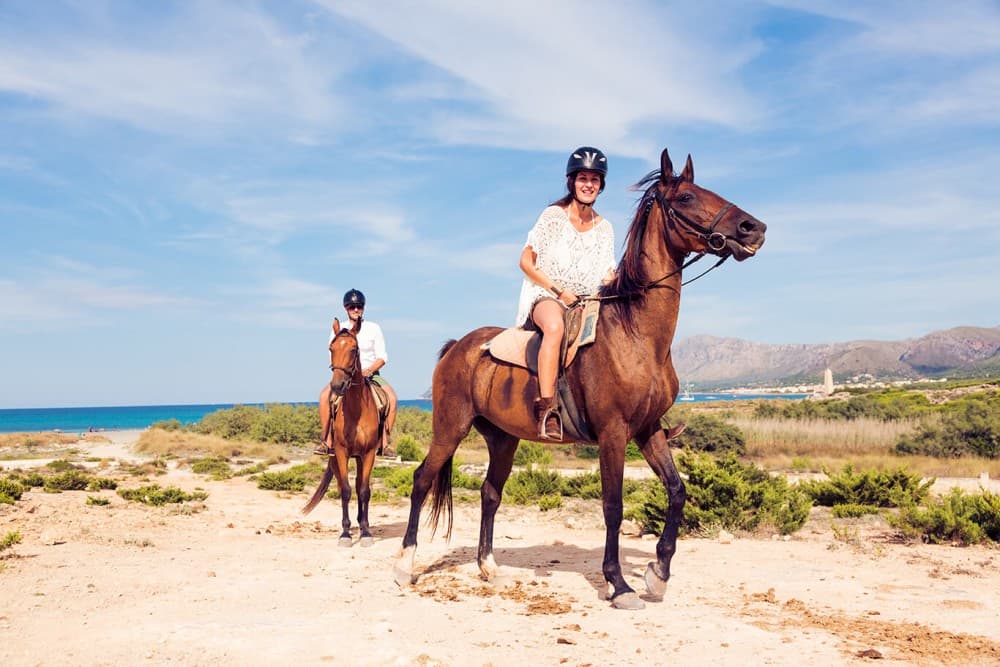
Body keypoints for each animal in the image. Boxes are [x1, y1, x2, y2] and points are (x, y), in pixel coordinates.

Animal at [302, 317, 384, 547]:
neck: (356, 408)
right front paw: (346, 534)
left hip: (359, 457)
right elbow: (346, 491)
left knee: (360, 486)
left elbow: (364, 491)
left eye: (354, 349)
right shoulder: (340, 452)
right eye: (331, 348)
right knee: (342, 487)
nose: (338, 386)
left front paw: (366, 532)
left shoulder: (369, 453)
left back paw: (362, 523)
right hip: (335, 458)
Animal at [393, 147, 767, 609]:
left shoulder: (648, 430)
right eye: (686, 197)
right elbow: (613, 506)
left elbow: (677, 491)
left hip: (503, 438)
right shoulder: (613, 433)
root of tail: (457, 348)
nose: (754, 228)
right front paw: (619, 584)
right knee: (422, 480)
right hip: (450, 428)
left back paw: (489, 567)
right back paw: (404, 566)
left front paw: (658, 572)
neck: (635, 333)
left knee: (489, 493)